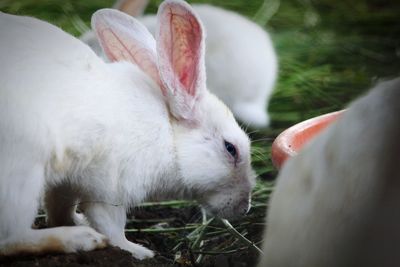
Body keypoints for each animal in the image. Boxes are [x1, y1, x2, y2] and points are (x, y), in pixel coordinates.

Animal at [0, 0, 255, 260]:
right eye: (231, 149)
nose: (245, 208)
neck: (169, 136)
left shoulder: (67, 184)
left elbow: (59, 207)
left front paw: (76, 220)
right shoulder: (110, 189)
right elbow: (110, 225)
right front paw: (135, 251)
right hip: (20, 172)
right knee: (10, 238)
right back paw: (80, 239)